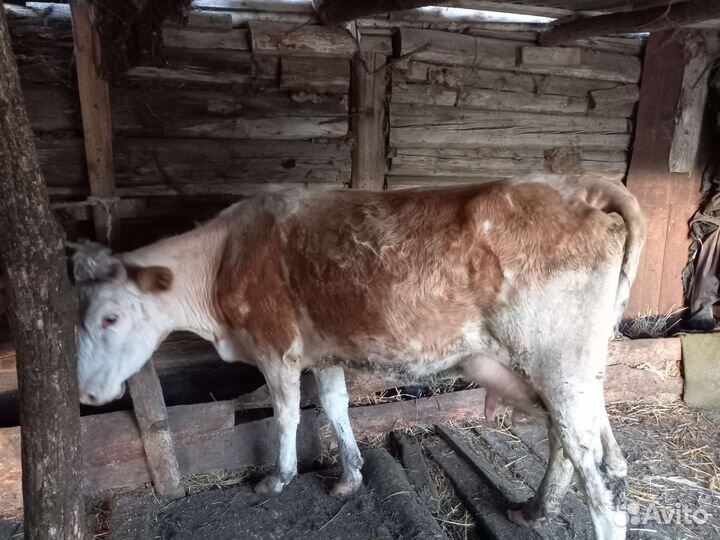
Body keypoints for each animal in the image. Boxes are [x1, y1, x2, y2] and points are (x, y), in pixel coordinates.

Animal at [73, 175, 646, 540]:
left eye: (110, 318)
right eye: (78, 314)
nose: (86, 392)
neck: (223, 260)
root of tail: (575, 187)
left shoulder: (276, 348)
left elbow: (285, 415)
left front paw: (277, 478)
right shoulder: (323, 351)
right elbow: (334, 407)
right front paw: (348, 477)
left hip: (559, 364)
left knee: (600, 480)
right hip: (573, 371)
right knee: (583, 449)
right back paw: (533, 510)